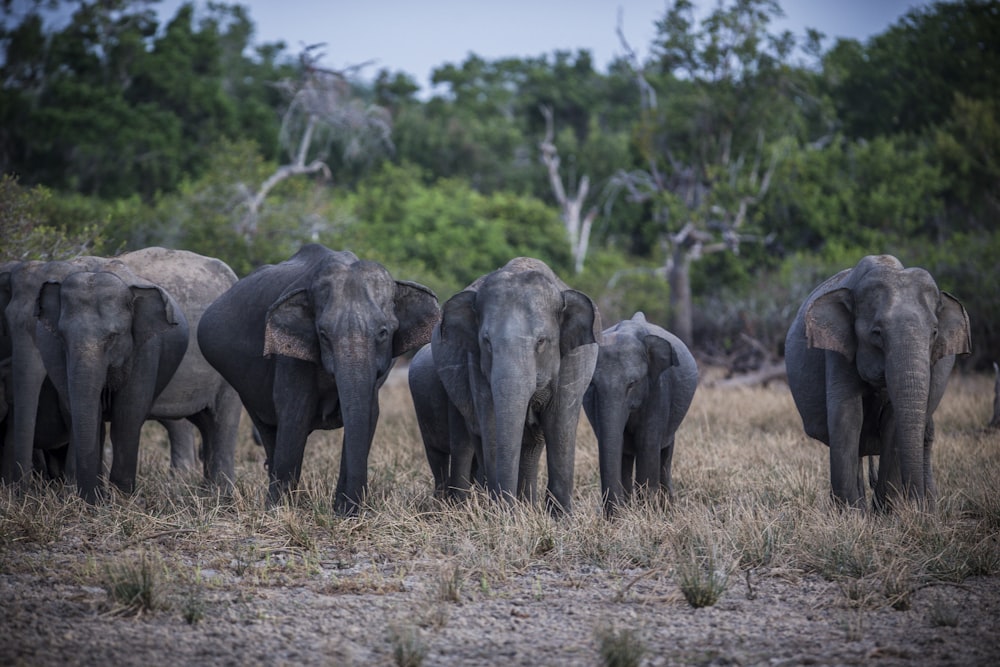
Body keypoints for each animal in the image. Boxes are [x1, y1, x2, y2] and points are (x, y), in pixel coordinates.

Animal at [35, 264, 190, 498]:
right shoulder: (56, 354)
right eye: (62, 337)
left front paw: (122, 498)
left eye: (113, 336)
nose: (93, 500)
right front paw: (93, 498)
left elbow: (127, 415)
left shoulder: (146, 350)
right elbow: (88, 415)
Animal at [197, 243, 440, 516]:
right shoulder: (291, 357)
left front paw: (344, 512)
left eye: (383, 333)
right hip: (242, 385)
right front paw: (279, 511)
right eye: (323, 334)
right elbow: (295, 414)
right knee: (268, 428)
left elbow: (369, 413)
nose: (354, 509)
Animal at [426, 258, 596, 516]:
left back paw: (527, 506)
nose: (506, 507)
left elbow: (559, 424)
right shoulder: (476, 365)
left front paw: (561, 519)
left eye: (541, 341)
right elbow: (492, 423)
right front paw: (503, 515)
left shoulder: (574, 359)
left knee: (532, 445)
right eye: (486, 342)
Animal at [584, 314, 700, 516]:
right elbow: (618, 446)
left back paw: (668, 507)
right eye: (593, 384)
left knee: (665, 452)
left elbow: (647, 443)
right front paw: (626, 514)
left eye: (632, 384)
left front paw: (648, 513)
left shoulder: (658, 389)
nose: (610, 517)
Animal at [784, 256, 972, 512]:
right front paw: (850, 515)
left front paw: (886, 512)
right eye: (877, 333)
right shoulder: (839, 349)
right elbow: (847, 415)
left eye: (934, 333)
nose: (916, 504)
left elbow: (893, 420)